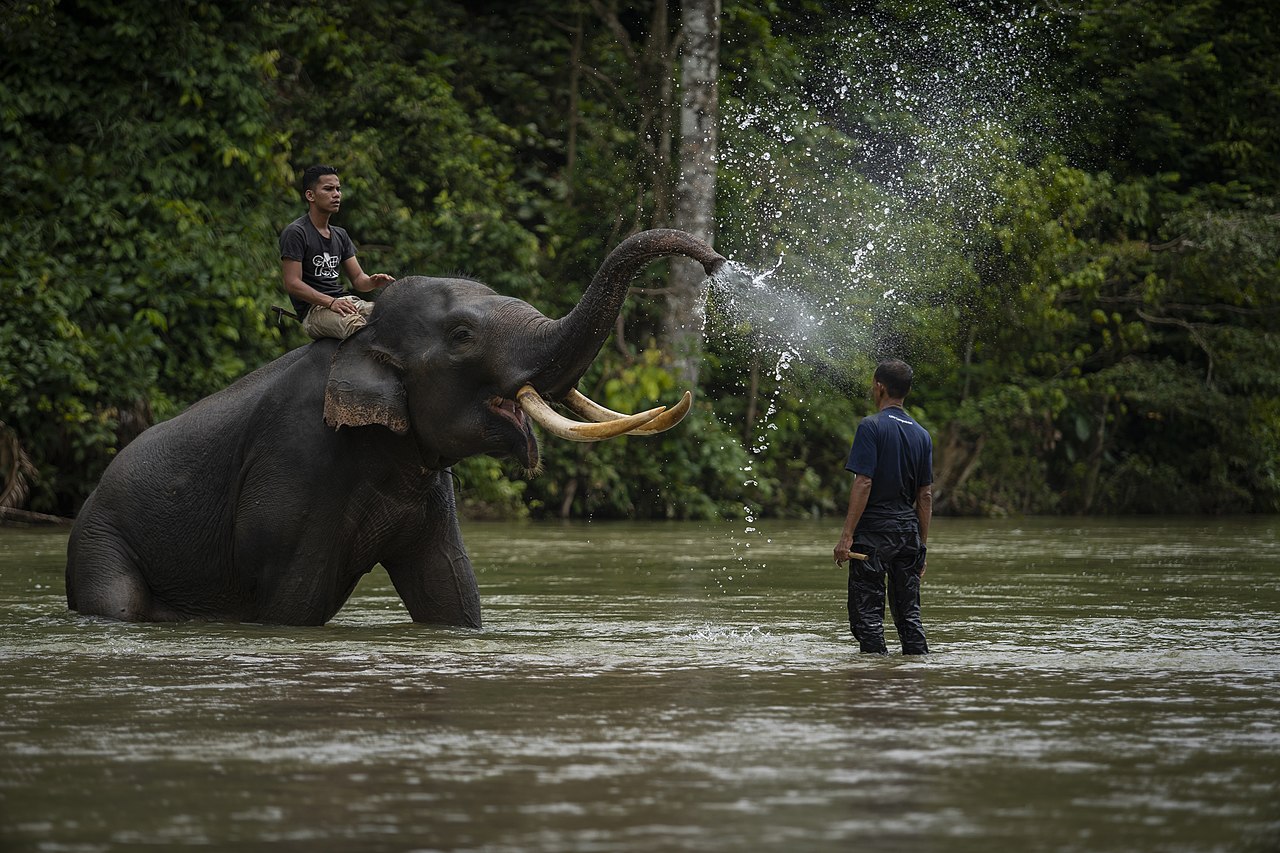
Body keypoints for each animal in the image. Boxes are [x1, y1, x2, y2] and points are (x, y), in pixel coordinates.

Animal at [67, 225, 732, 625]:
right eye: (462, 336)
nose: (717, 260)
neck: (364, 340)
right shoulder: (293, 471)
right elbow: (292, 605)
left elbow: (450, 592)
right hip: (101, 542)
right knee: (115, 601)